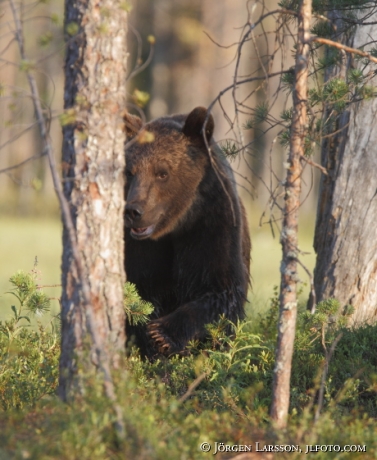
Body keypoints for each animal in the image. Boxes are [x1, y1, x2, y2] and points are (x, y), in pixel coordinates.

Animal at [123, 108, 250, 360]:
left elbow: (221, 292)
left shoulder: (212, 225)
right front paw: (150, 339)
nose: (134, 211)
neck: (176, 226)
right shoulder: (139, 248)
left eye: (162, 172)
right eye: (130, 172)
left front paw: (161, 334)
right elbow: (138, 293)